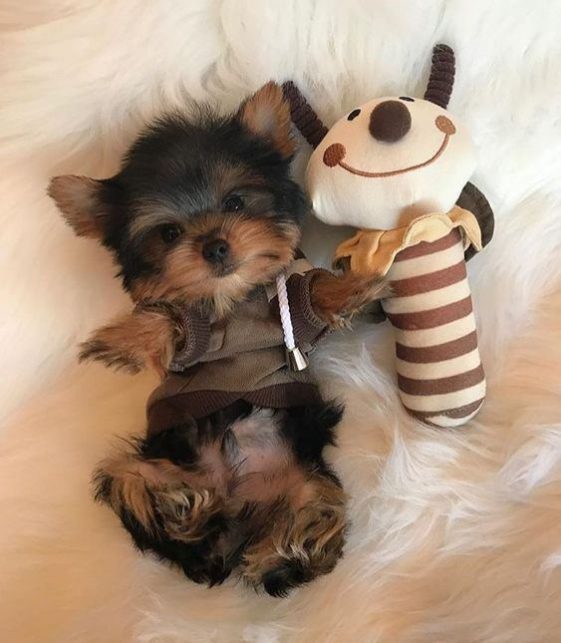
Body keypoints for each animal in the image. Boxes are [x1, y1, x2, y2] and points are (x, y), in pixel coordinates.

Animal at [49, 82, 384, 600]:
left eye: (236, 203)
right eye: (169, 233)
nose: (214, 245)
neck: (233, 299)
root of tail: (233, 500)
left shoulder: (290, 315)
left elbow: (310, 293)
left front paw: (353, 286)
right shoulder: (193, 332)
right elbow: (172, 321)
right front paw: (124, 338)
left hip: (304, 474)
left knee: (314, 505)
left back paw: (283, 550)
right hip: (160, 463)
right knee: (128, 478)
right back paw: (179, 503)